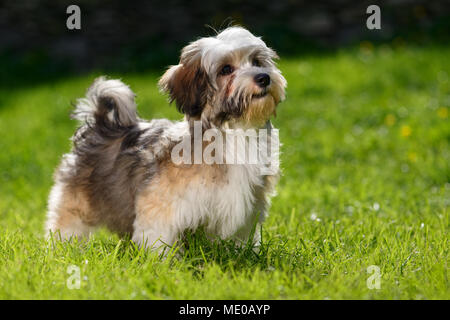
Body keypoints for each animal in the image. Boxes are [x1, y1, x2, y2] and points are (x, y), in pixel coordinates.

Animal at [45, 26, 288, 250]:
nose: (264, 77)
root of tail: (102, 125)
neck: (232, 132)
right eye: (226, 69)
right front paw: (163, 262)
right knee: (66, 225)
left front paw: (242, 254)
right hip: (75, 202)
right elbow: (159, 236)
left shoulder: (248, 207)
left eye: (257, 61)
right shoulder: (162, 206)